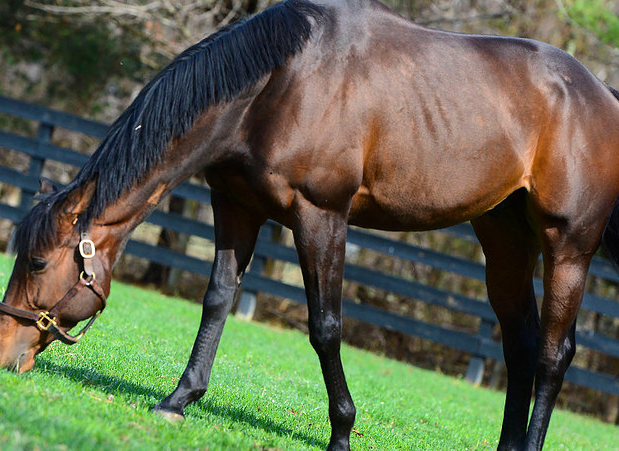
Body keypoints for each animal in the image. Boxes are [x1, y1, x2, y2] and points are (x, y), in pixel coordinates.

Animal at [1, 0, 619, 450]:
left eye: (36, 261)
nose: (7, 353)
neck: (277, 85)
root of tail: (600, 94)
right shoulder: (236, 206)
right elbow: (217, 300)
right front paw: (178, 400)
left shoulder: (321, 216)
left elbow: (325, 326)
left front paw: (342, 430)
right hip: (505, 242)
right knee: (521, 345)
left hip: (568, 247)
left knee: (553, 355)